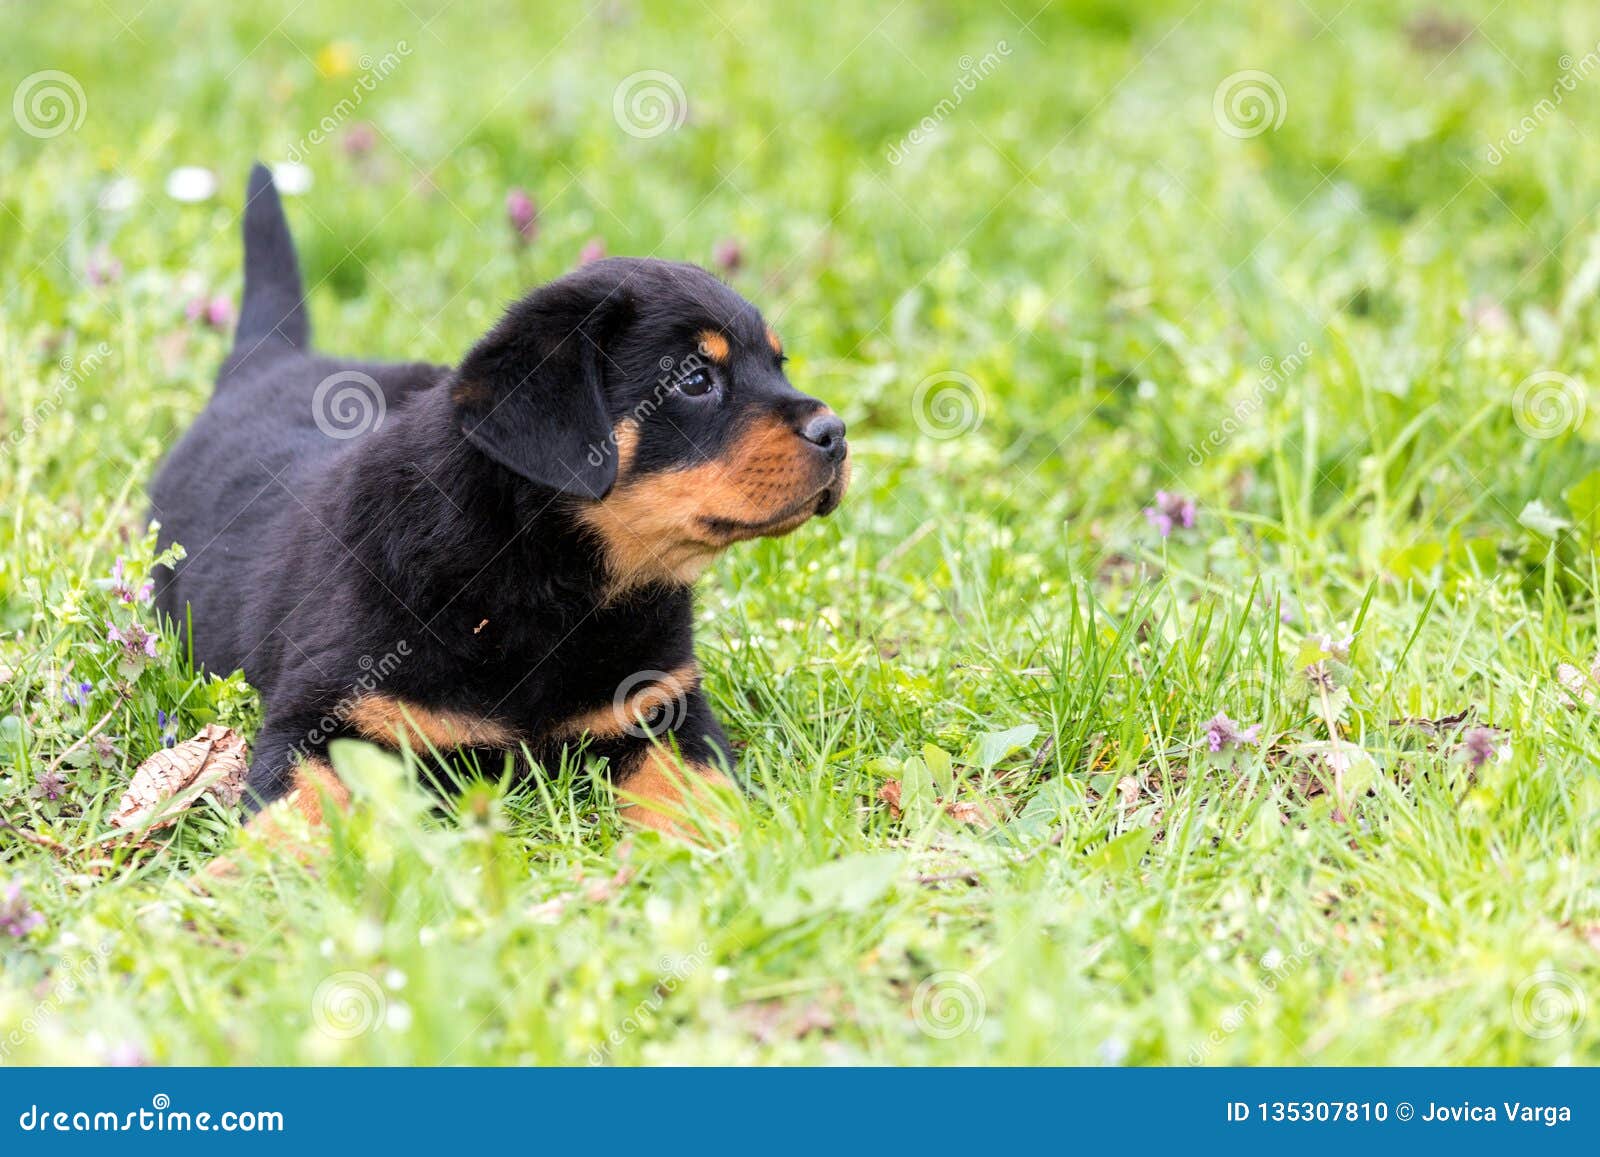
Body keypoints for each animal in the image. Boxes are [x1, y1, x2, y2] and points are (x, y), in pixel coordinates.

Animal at [151, 164, 851, 844]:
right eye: (696, 379)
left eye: (779, 363)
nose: (837, 433)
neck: (544, 578)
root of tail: (266, 362)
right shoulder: (320, 714)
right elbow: (300, 805)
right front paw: (265, 866)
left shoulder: (663, 704)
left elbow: (693, 789)